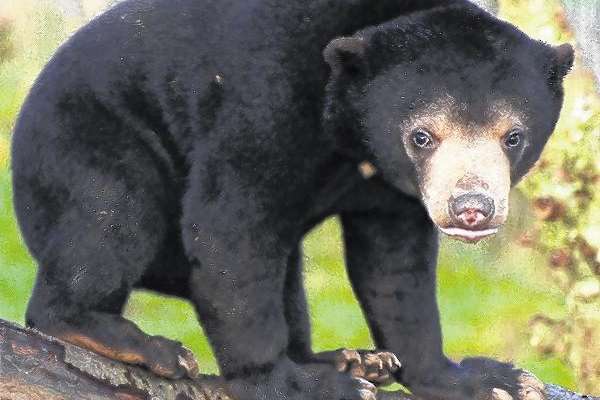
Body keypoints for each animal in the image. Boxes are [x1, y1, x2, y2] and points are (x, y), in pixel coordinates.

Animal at [9, 0, 572, 398]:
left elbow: (396, 272)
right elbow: (229, 226)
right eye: (421, 137)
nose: (471, 208)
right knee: (112, 219)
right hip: (90, 139)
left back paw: (350, 358)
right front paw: (298, 385)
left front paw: (488, 380)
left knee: (287, 278)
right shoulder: (267, 99)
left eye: (513, 137)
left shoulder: (393, 197)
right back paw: (140, 344)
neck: (354, 142)